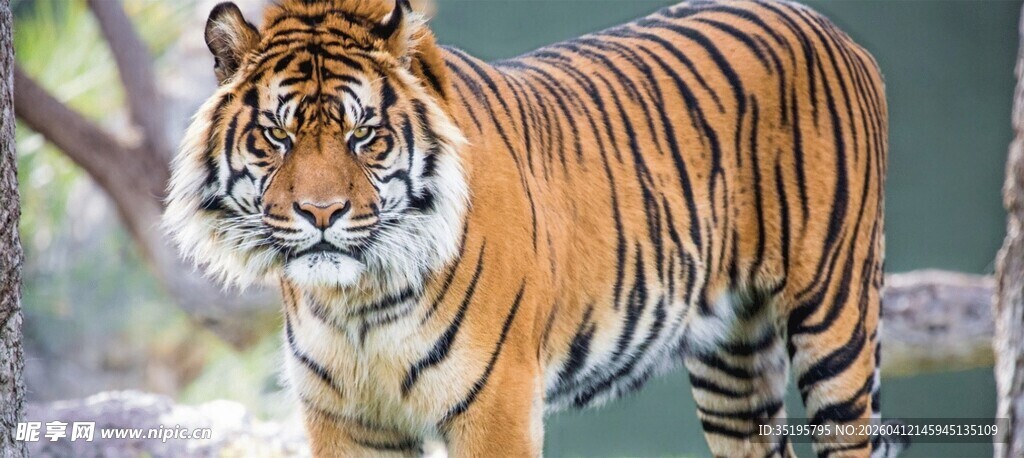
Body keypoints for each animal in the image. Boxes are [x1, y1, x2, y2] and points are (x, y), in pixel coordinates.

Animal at [164, 0, 900, 456]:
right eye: (277, 137)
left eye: (364, 136)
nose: (321, 214)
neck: (360, 301)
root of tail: (826, 26)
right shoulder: (345, 421)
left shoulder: (495, 405)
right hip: (734, 360)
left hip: (833, 322)